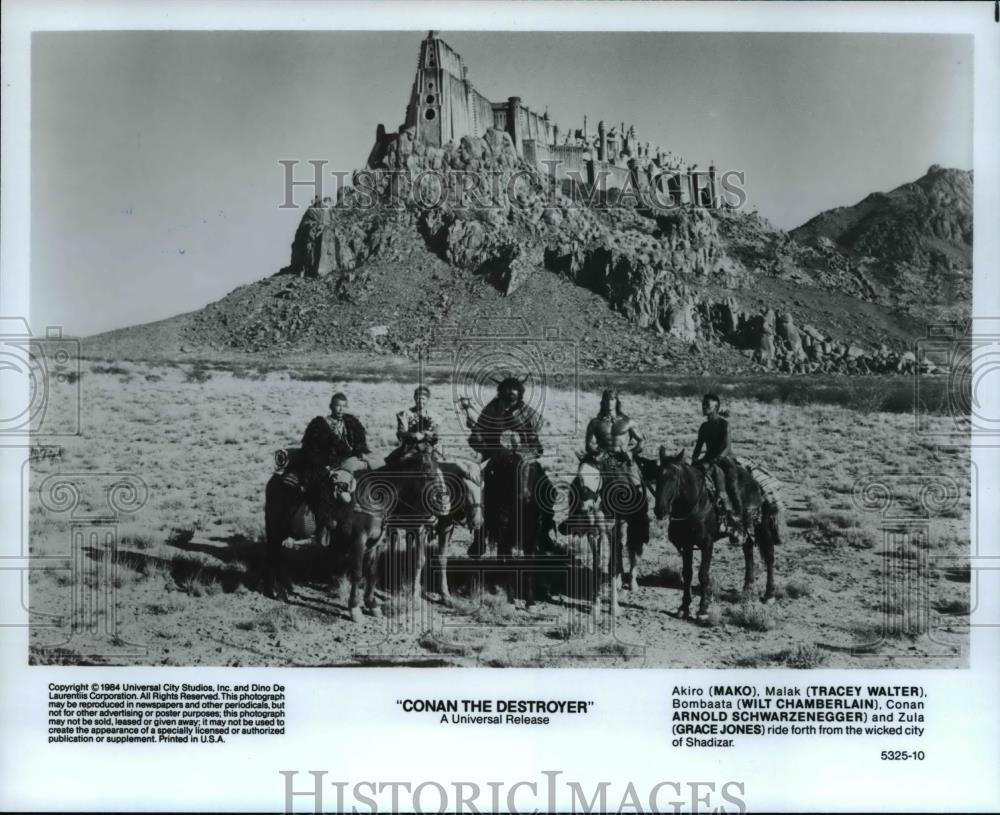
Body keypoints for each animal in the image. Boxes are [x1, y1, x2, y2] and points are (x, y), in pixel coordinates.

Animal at [648, 446, 780, 620]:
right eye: (656, 476)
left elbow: (703, 575)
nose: (660, 510)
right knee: (748, 550)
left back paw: (769, 595)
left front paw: (703, 609)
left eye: (674, 477)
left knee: (769, 556)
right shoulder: (687, 544)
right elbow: (687, 573)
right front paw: (684, 607)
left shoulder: (707, 543)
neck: (697, 502)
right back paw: (747, 588)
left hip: (762, 526)